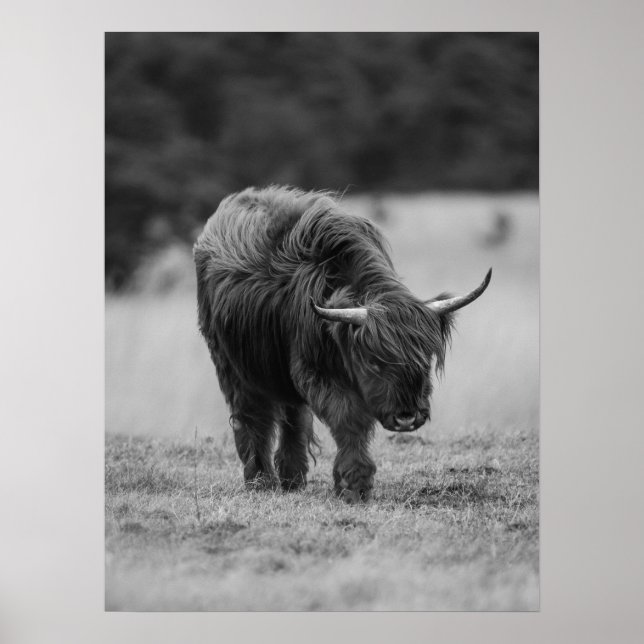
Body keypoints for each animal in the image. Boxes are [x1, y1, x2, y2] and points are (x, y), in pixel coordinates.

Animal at [193, 186, 491, 502]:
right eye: (374, 362)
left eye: (425, 358)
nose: (407, 418)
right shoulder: (315, 370)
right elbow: (348, 418)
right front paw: (354, 484)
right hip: (232, 366)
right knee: (252, 417)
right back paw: (261, 480)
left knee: (292, 416)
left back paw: (292, 477)